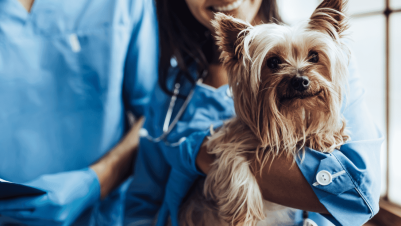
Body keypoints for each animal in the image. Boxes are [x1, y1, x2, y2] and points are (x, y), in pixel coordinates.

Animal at [179, 0, 350, 225]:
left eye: (314, 56)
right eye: (273, 62)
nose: (300, 81)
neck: (291, 115)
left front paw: (324, 135)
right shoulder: (225, 140)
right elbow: (234, 165)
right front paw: (244, 214)